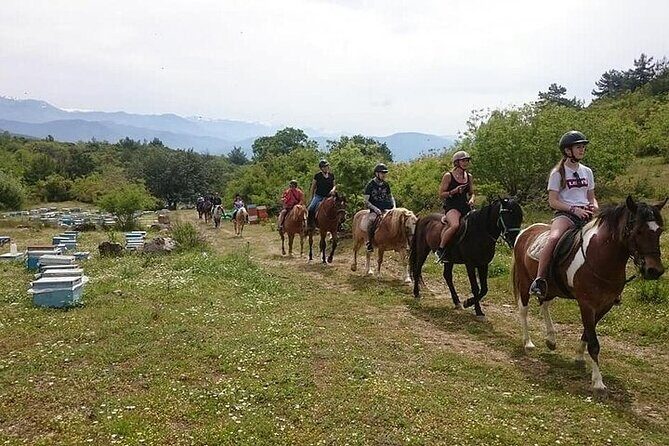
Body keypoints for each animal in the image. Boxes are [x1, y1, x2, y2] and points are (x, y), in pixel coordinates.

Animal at [513, 196, 666, 392]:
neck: (600, 256)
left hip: (551, 287)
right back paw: (528, 343)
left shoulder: (605, 305)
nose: (655, 271)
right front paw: (598, 382)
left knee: (544, 304)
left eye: (659, 230)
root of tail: (526, 231)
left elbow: (587, 333)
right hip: (525, 283)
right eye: (638, 231)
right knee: (523, 310)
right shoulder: (587, 304)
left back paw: (551, 339)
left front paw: (579, 357)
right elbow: (593, 343)